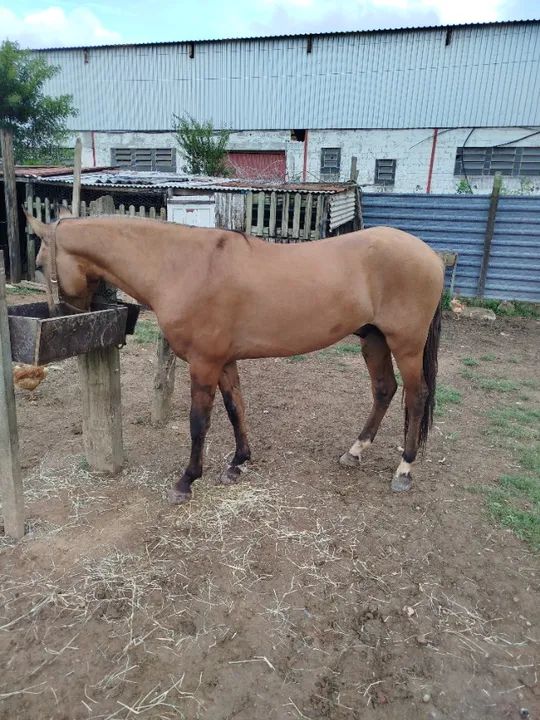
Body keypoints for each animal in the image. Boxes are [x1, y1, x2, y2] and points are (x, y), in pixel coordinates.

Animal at [26, 209, 444, 503]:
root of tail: (431, 255)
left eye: (40, 264)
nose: (59, 316)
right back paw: (355, 452)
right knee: (384, 390)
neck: (181, 266)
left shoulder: (204, 363)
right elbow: (234, 409)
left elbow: (199, 422)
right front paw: (238, 463)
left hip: (405, 344)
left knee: (417, 396)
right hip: (374, 340)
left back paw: (404, 469)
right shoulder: (224, 361)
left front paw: (186, 481)